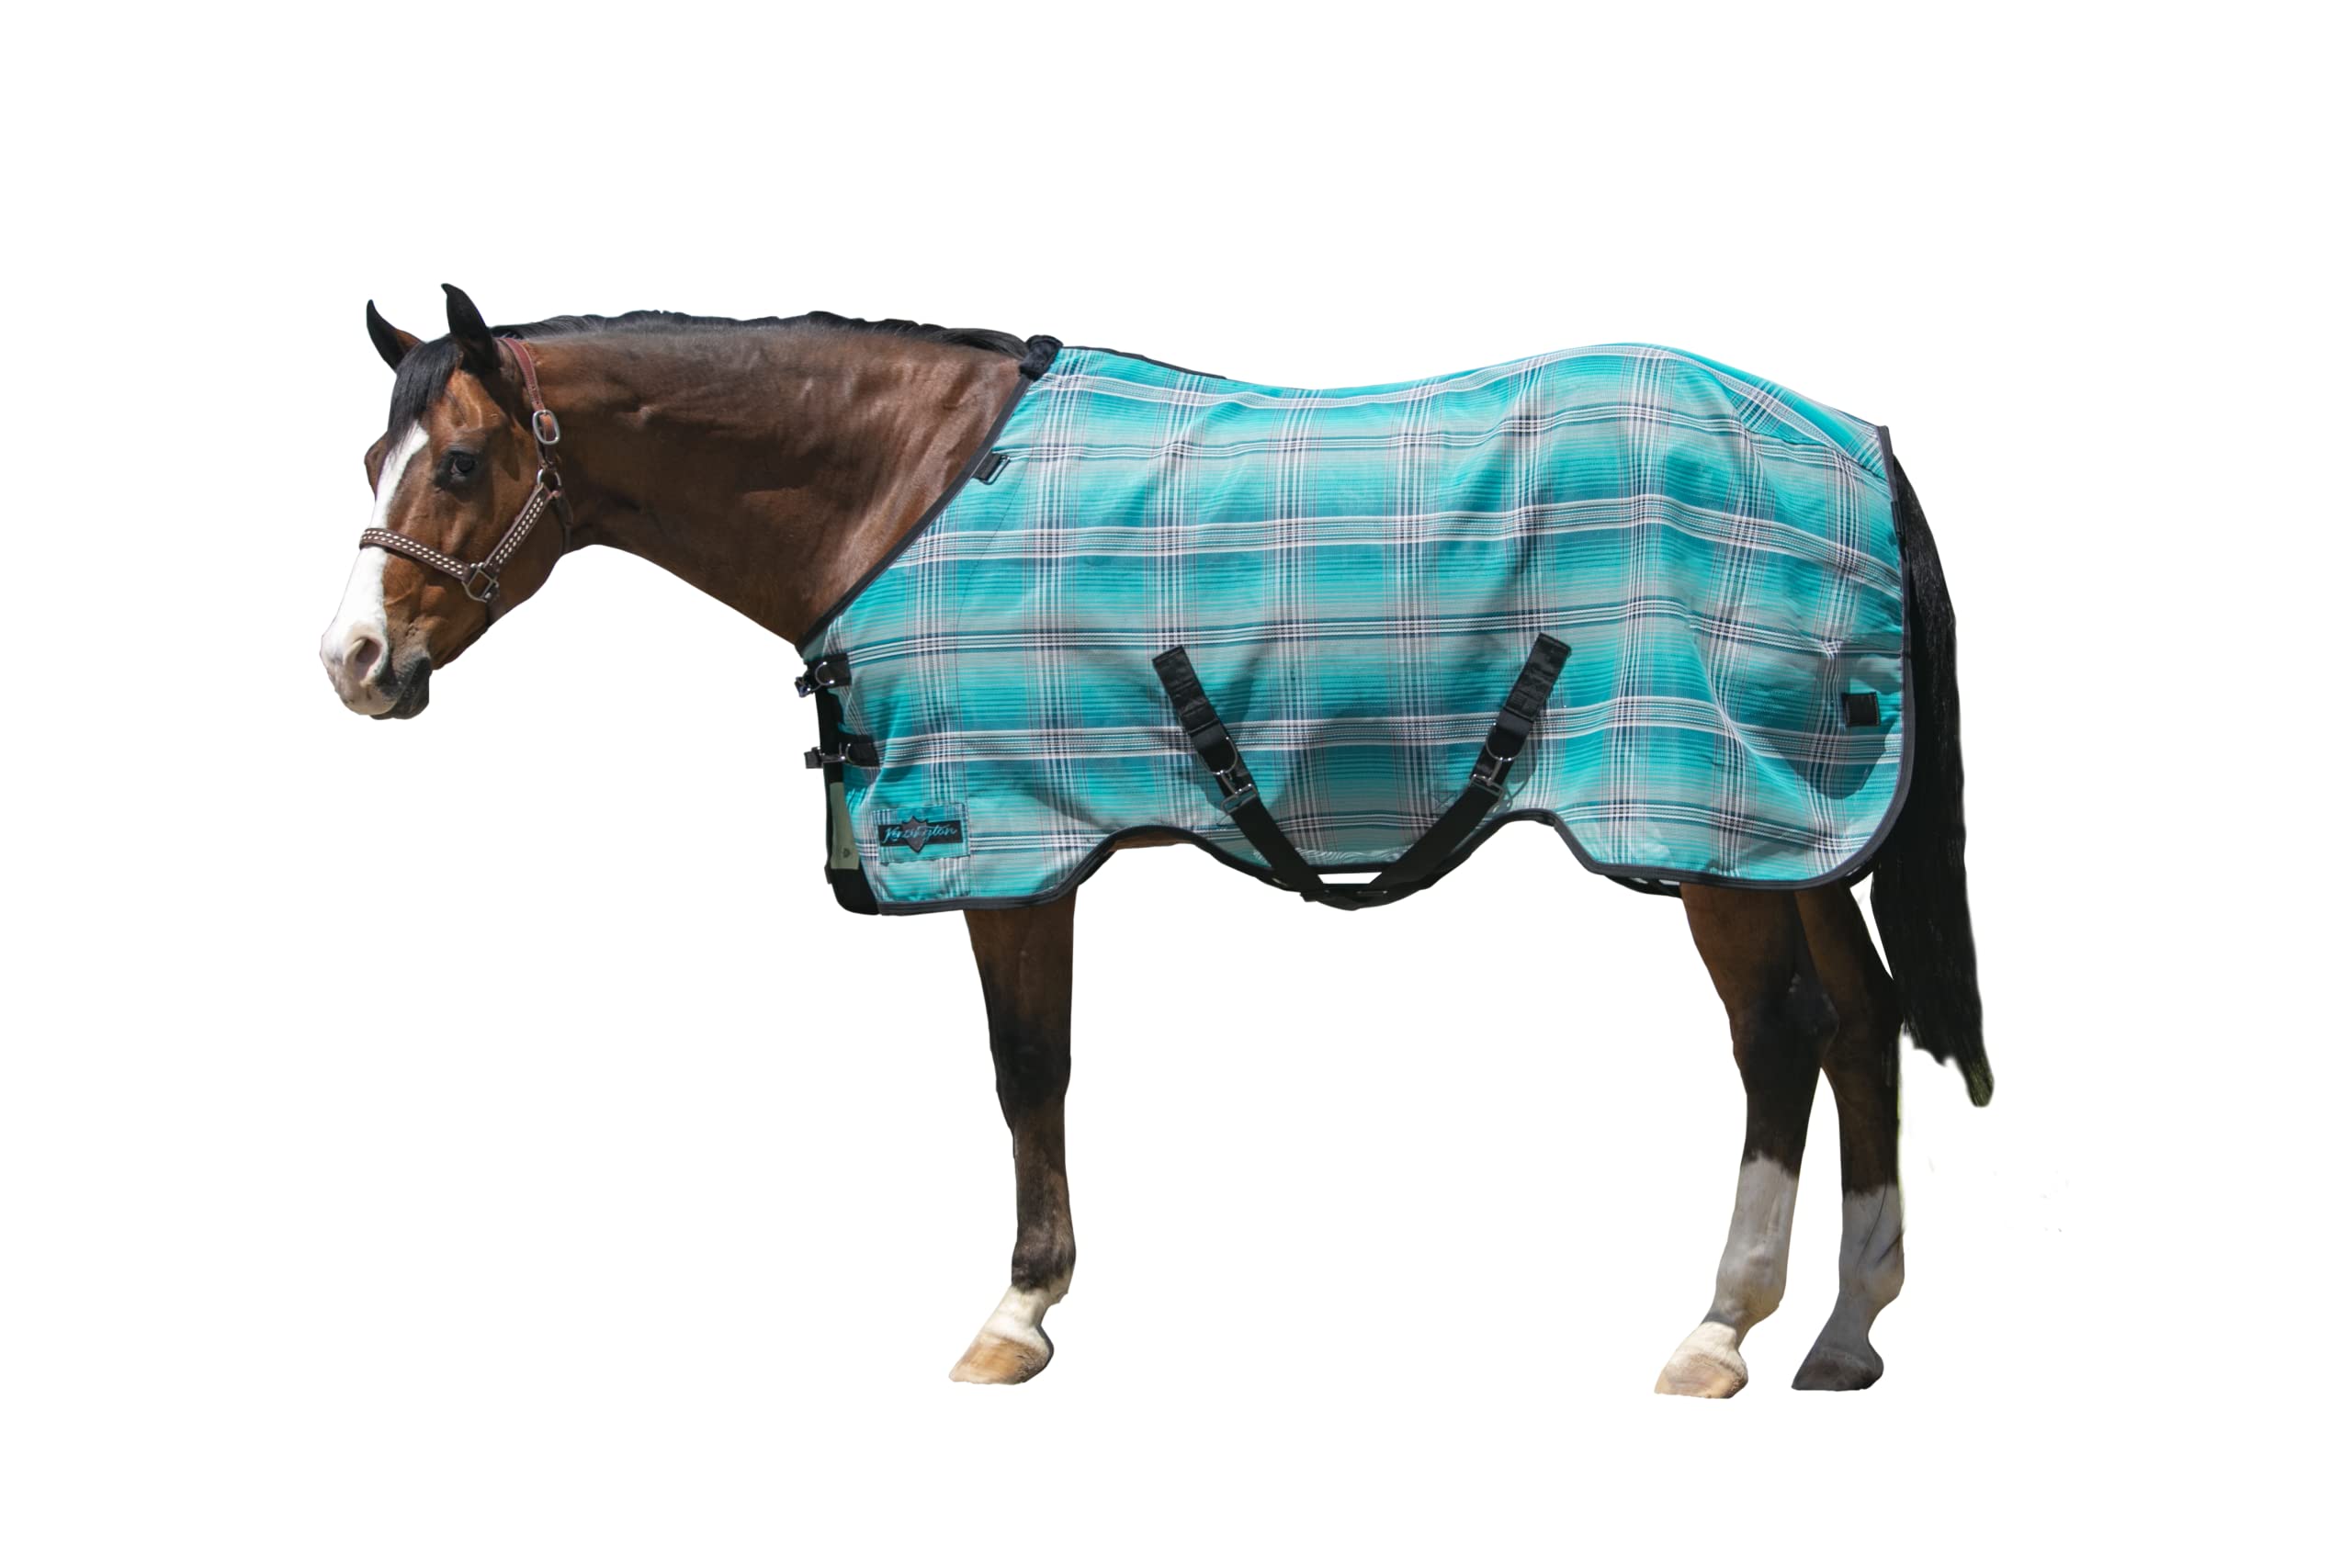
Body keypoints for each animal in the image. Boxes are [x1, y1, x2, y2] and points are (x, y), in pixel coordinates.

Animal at [322, 286, 1988, 1395]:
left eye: (457, 464)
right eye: (370, 464)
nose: (352, 662)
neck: (901, 487)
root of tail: (1856, 441)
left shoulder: (1004, 848)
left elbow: (1026, 1069)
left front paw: (1015, 1315)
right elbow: (1040, 1067)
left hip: (1710, 835)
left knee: (1782, 1039)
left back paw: (1722, 1327)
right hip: (1792, 828)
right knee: (1862, 1022)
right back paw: (1847, 1332)